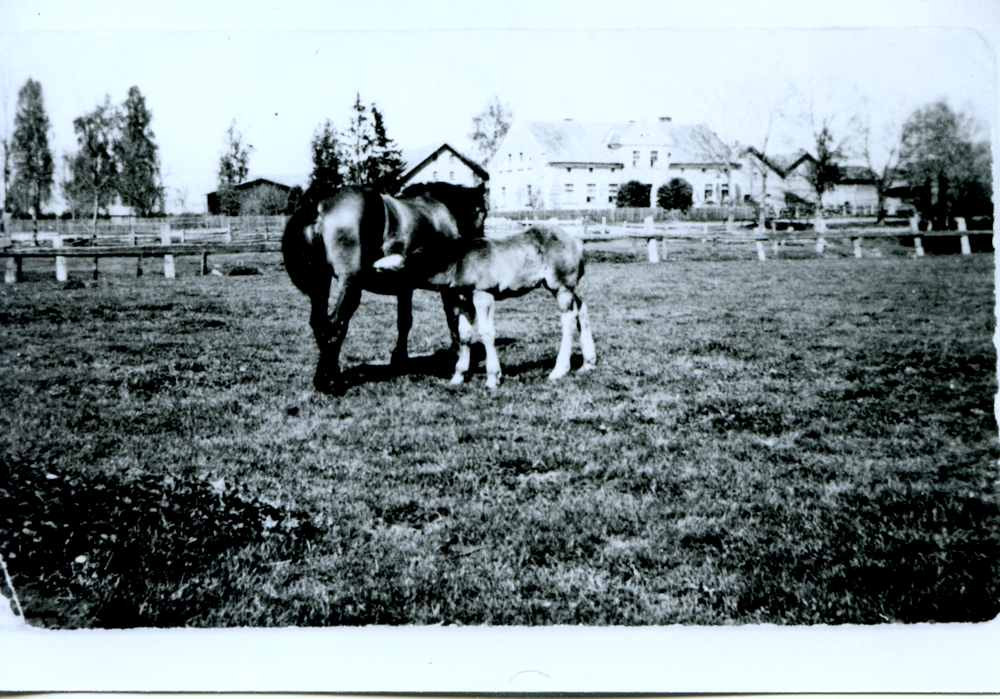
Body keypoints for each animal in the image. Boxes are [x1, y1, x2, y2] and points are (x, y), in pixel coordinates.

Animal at [284, 182, 486, 394]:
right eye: (481, 211)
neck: (438, 210)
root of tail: (319, 207)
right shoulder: (446, 286)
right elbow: (452, 318)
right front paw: (456, 358)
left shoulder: (405, 286)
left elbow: (404, 321)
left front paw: (400, 360)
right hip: (350, 286)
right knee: (335, 325)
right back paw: (330, 381)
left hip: (320, 284)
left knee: (319, 323)